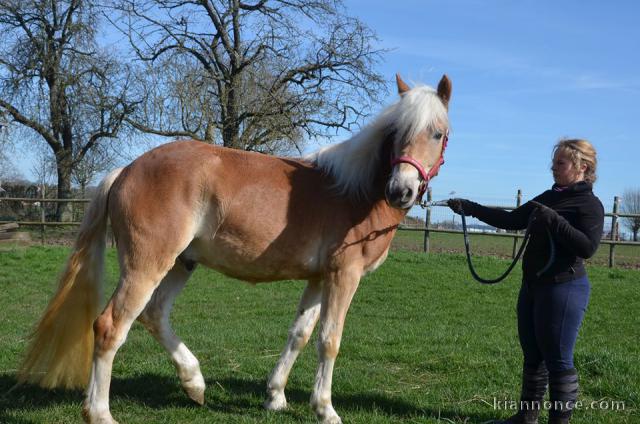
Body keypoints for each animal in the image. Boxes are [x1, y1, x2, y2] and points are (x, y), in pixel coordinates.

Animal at [18, 74, 450, 422]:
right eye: (397, 132)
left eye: (438, 133)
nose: (401, 190)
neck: (355, 191)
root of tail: (126, 170)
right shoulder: (344, 275)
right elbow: (329, 340)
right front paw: (326, 409)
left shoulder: (319, 278)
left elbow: (299, 334)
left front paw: (275, 397)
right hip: (147, 265)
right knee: (110, 326)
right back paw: (100, 412)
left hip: (181, 263)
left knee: (154, 315)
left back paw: (194, 383)